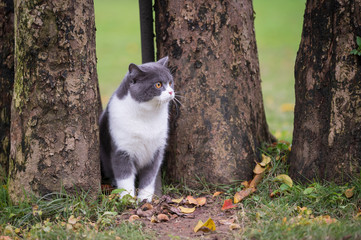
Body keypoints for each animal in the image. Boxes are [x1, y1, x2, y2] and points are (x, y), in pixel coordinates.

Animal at [99, 56, 174, 202]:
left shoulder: (156, 150)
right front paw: (127, 199)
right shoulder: (121, 149)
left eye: (170, 82)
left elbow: (149, 177)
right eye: (158, 84)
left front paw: (145, 199)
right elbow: (124, 176)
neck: (148, 116)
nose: (171, 91)